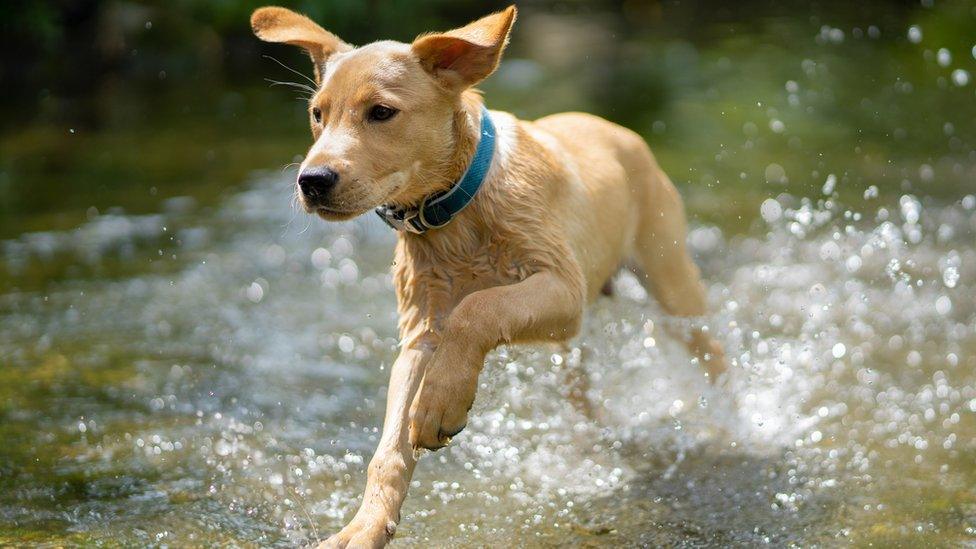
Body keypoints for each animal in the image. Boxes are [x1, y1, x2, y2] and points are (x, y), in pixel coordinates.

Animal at [252, 6, 724, 544]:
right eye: (317, 114)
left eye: (381, 113)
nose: (311, 181)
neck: (457, 212)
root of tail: (614, 126)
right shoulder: (421, 332)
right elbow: (390, 448)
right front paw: (364, 527)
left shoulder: (563, 288)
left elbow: (480, 307)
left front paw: (441, 405)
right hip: (571, 345)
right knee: (582, 398)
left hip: (671, 282)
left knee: (713, 353)